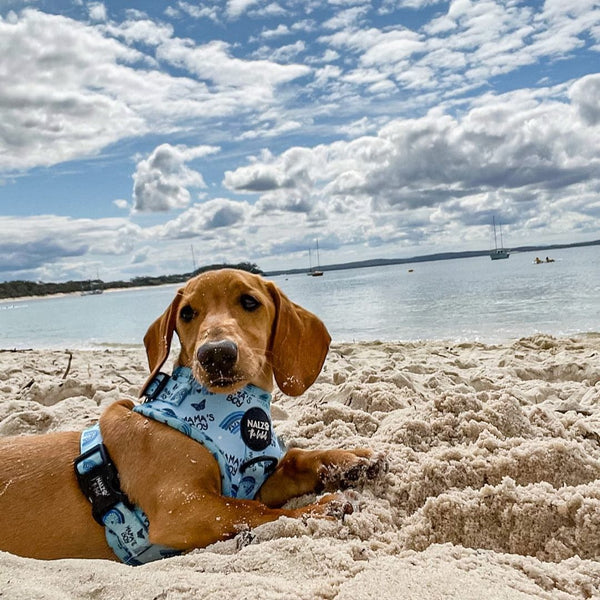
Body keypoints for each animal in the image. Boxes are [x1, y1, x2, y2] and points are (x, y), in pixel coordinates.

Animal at [0, 270, 380, 560]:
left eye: (250, 302)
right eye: (186, 313)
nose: (215, 354)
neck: (235, 415)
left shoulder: (253, 483)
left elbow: (298, 460)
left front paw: (348, 459)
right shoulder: (184, 508)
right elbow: (254, 513)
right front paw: (313, 511)